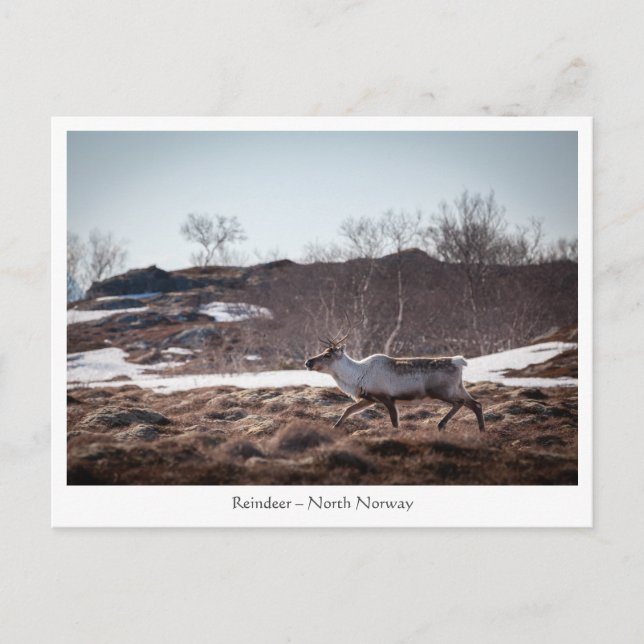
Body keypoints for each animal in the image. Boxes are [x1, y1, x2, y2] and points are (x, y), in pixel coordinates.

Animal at [304, 322, 485, 432]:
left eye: (328, 355)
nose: (308, 362)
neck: (357, 375)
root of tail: (458, 362)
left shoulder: (387, 398)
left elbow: (395, 423)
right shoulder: (369, 399)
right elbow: (348, 410)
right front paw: (333, 429)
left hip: (442, 391)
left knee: (461, 403)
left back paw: (441, 424)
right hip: (459, 388)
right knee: (476, 404)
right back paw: (481, 431)